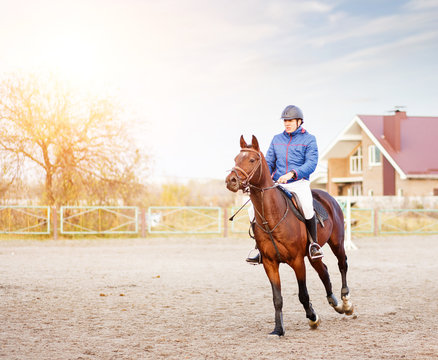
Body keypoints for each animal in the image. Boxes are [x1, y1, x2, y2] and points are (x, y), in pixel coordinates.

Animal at [226, 134, 352, 334]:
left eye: (252, 160)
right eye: (235, 159)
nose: (230, 180)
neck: (273, 214)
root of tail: (327, 196)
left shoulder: (297, 261)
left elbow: (303, 294)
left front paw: (313, 317)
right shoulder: (269, 263)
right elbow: (277, 298)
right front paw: (278, 329)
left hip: (337, 243)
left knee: (342, 264)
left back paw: (346, 302)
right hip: (313, 255)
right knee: (323, 271)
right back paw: (335, 303)